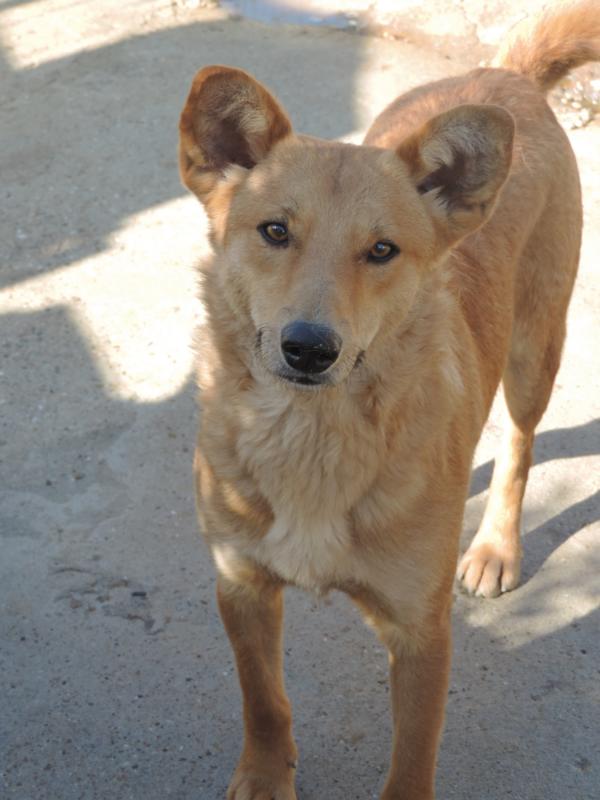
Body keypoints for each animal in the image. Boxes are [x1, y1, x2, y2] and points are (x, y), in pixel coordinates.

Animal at [178, 2, 600, 797]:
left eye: (382, 251)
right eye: (274, 231)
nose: (310, 348)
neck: (311, 440)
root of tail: (503, 76)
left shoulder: (421, 634)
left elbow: (411, 758)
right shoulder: (240, 587)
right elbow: (263, 699)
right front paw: (266, 775)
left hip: (535, 349)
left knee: (520, 442)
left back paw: (495, 545)